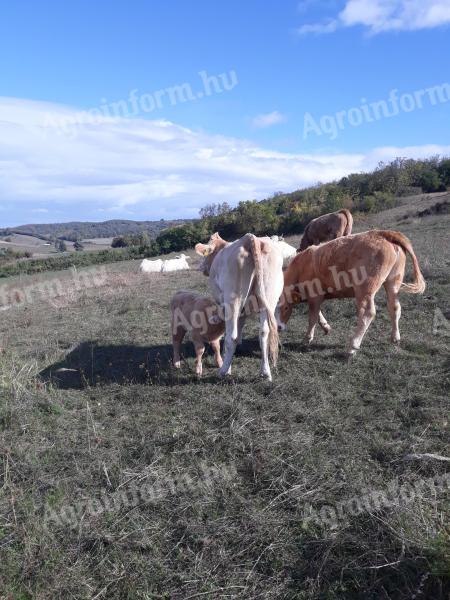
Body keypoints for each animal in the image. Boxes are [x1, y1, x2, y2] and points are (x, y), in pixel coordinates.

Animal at [195, 232, 284, 382]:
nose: (201, 268)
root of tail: (249, 238)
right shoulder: (244, 310)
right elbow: (241, 324)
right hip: (269, 298)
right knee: (264, 333)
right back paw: (265, 372)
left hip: (234, 299)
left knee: (232, 336)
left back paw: (223, 371)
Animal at [278, 227, 426, 354]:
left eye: (285, 307)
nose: (278, 327)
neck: (301, 266)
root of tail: (381, 233)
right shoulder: (313, 297)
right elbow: (318, 314)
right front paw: (326, 327)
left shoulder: (315, 296)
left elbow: (313, 317)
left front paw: (307, 338)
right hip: (393, 282)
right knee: (394, 307)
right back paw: (395, 338)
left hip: (364, 289)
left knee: (368, 313)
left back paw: (353, 346)